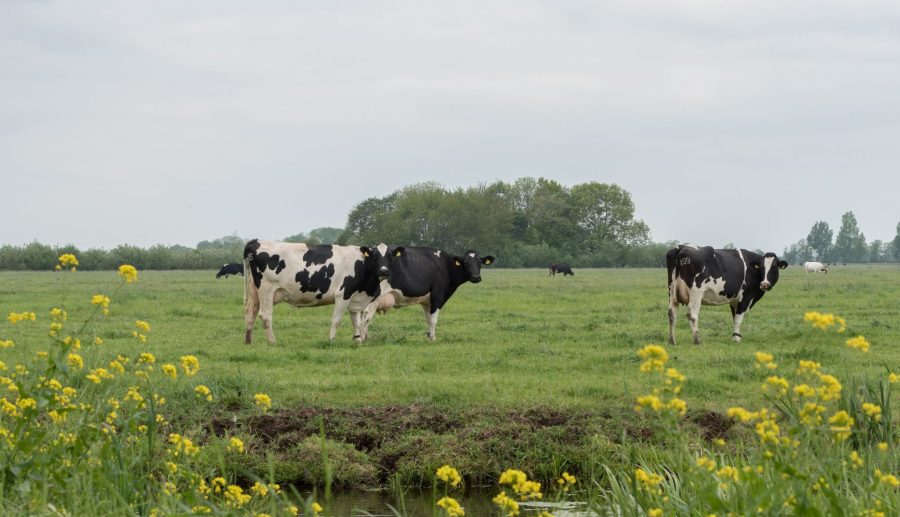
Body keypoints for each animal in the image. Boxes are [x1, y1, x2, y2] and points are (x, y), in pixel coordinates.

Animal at [241, 240, 382, 344]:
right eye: (375, 257)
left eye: (387, 257)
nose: (384, 271)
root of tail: (256, 242)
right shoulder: (343, 294)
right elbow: (337, 320)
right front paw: (331, 340)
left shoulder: (354, 297)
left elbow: (356, 321)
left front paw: (357, 340)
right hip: (267, 289)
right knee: (265, 315)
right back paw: (272, 341)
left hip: (255, 292)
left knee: (250, 312)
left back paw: (249, 341)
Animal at [360, 245, 500, 340]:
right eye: (466, 263)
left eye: (479, 262)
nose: (476, 277)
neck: (445, 265)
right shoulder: (437, 295)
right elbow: (433, 319)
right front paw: (433, 339)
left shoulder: (427, 301)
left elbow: (428, 319)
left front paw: (428, 337)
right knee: (366, 316)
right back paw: (363, 338)